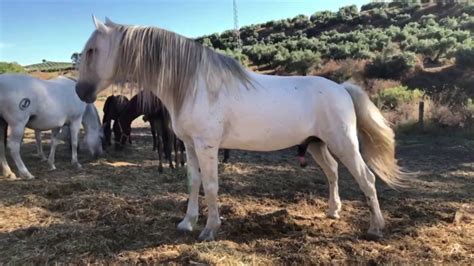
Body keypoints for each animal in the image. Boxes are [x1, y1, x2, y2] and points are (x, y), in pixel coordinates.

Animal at [75, 16, 408, 241]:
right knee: (333, 172)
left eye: (92, 50)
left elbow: (211, 185)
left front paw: (209, 229)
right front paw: (187, 222)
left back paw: (375, 228)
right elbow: (193, 182)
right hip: (316, 143)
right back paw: (333, 210)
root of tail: (341, 88)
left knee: (366, 178)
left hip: (343, 143)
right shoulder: (190, 146)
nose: (80, 91)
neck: (194, 85)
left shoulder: (207, 146)